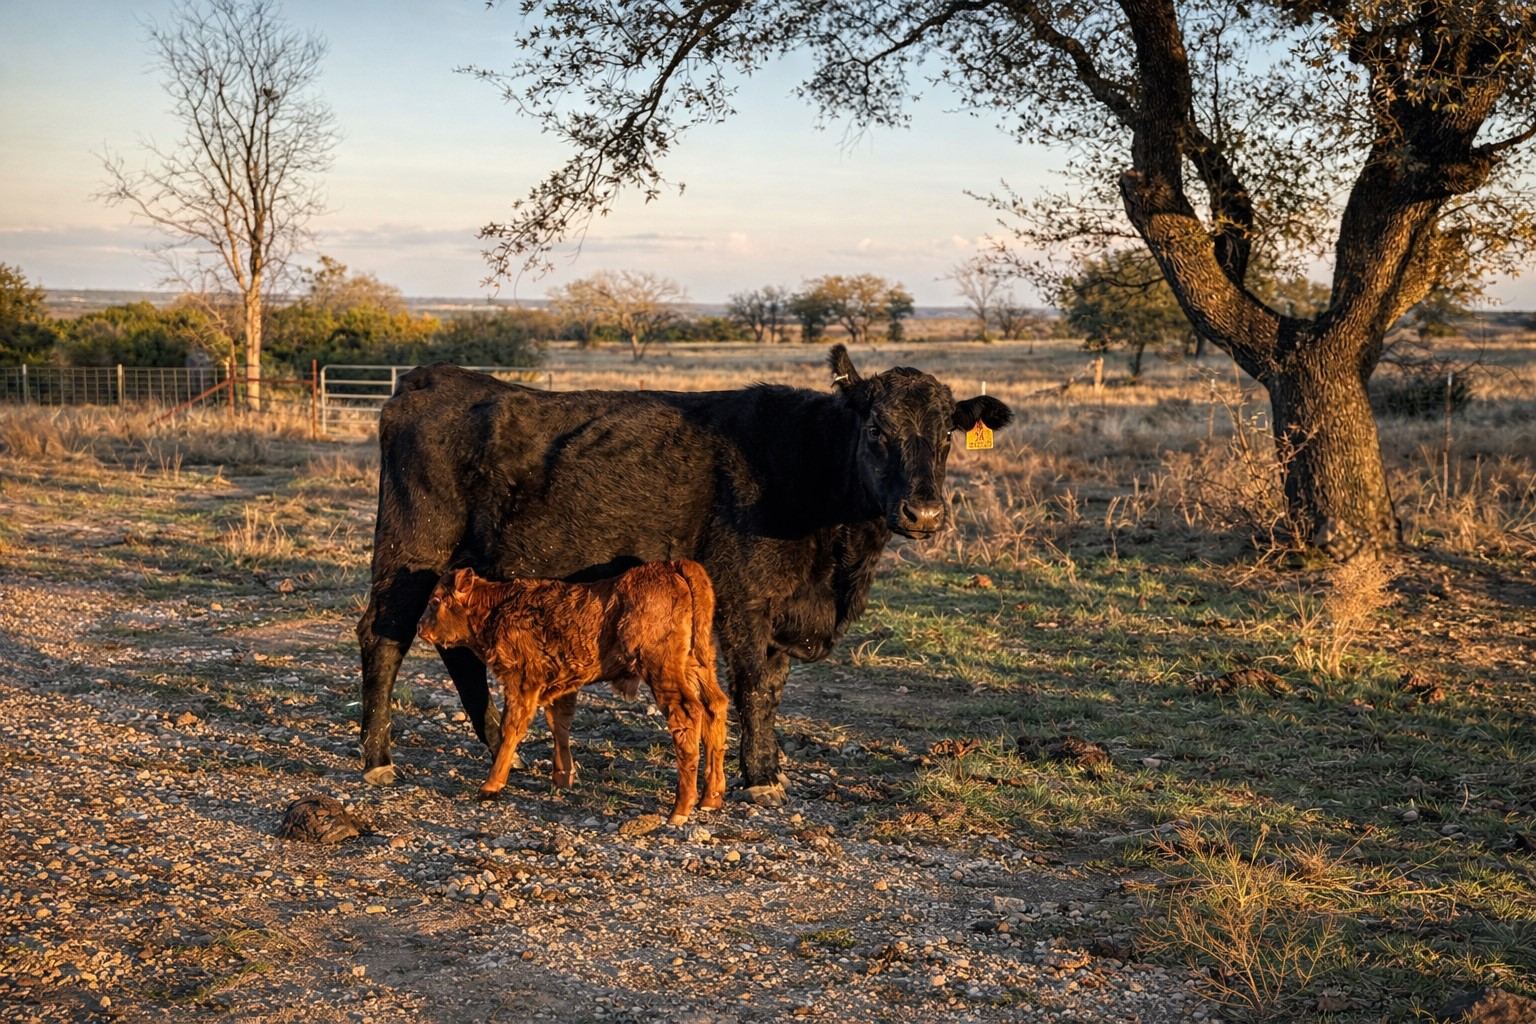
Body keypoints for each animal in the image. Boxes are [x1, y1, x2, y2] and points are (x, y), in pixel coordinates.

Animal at [417, 561, 727, 824]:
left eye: (435, 601)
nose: (420, 627)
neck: (496, 607)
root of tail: (672, 566)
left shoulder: (522, 682)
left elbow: (512, 728)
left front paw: (491, 785)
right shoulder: (558, 684)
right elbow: (559, 723)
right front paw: (562, 776)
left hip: (661, 669)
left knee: (687, 714)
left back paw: (681, 808)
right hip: (698, 665)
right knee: (715, 707)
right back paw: (710, 797)